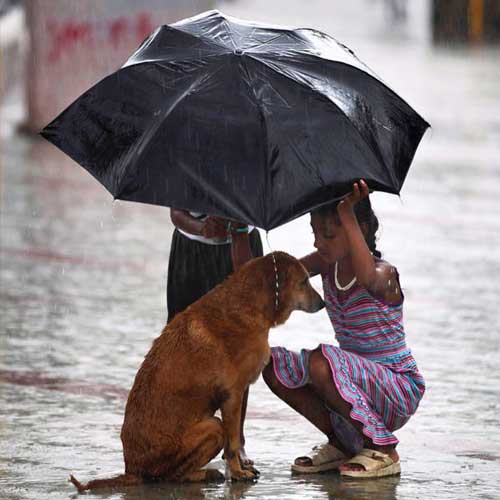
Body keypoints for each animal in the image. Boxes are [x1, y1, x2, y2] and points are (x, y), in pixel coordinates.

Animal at [69, 252, 324, 490]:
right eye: (303, 282)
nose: (322, 303)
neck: (247, 304)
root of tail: (132, 470)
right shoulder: (232, 396)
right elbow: (233, 444)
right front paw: (237, 472)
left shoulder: (238, 395)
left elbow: (235, 440)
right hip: (212, 428)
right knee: (171, 476)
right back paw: (205, 474)